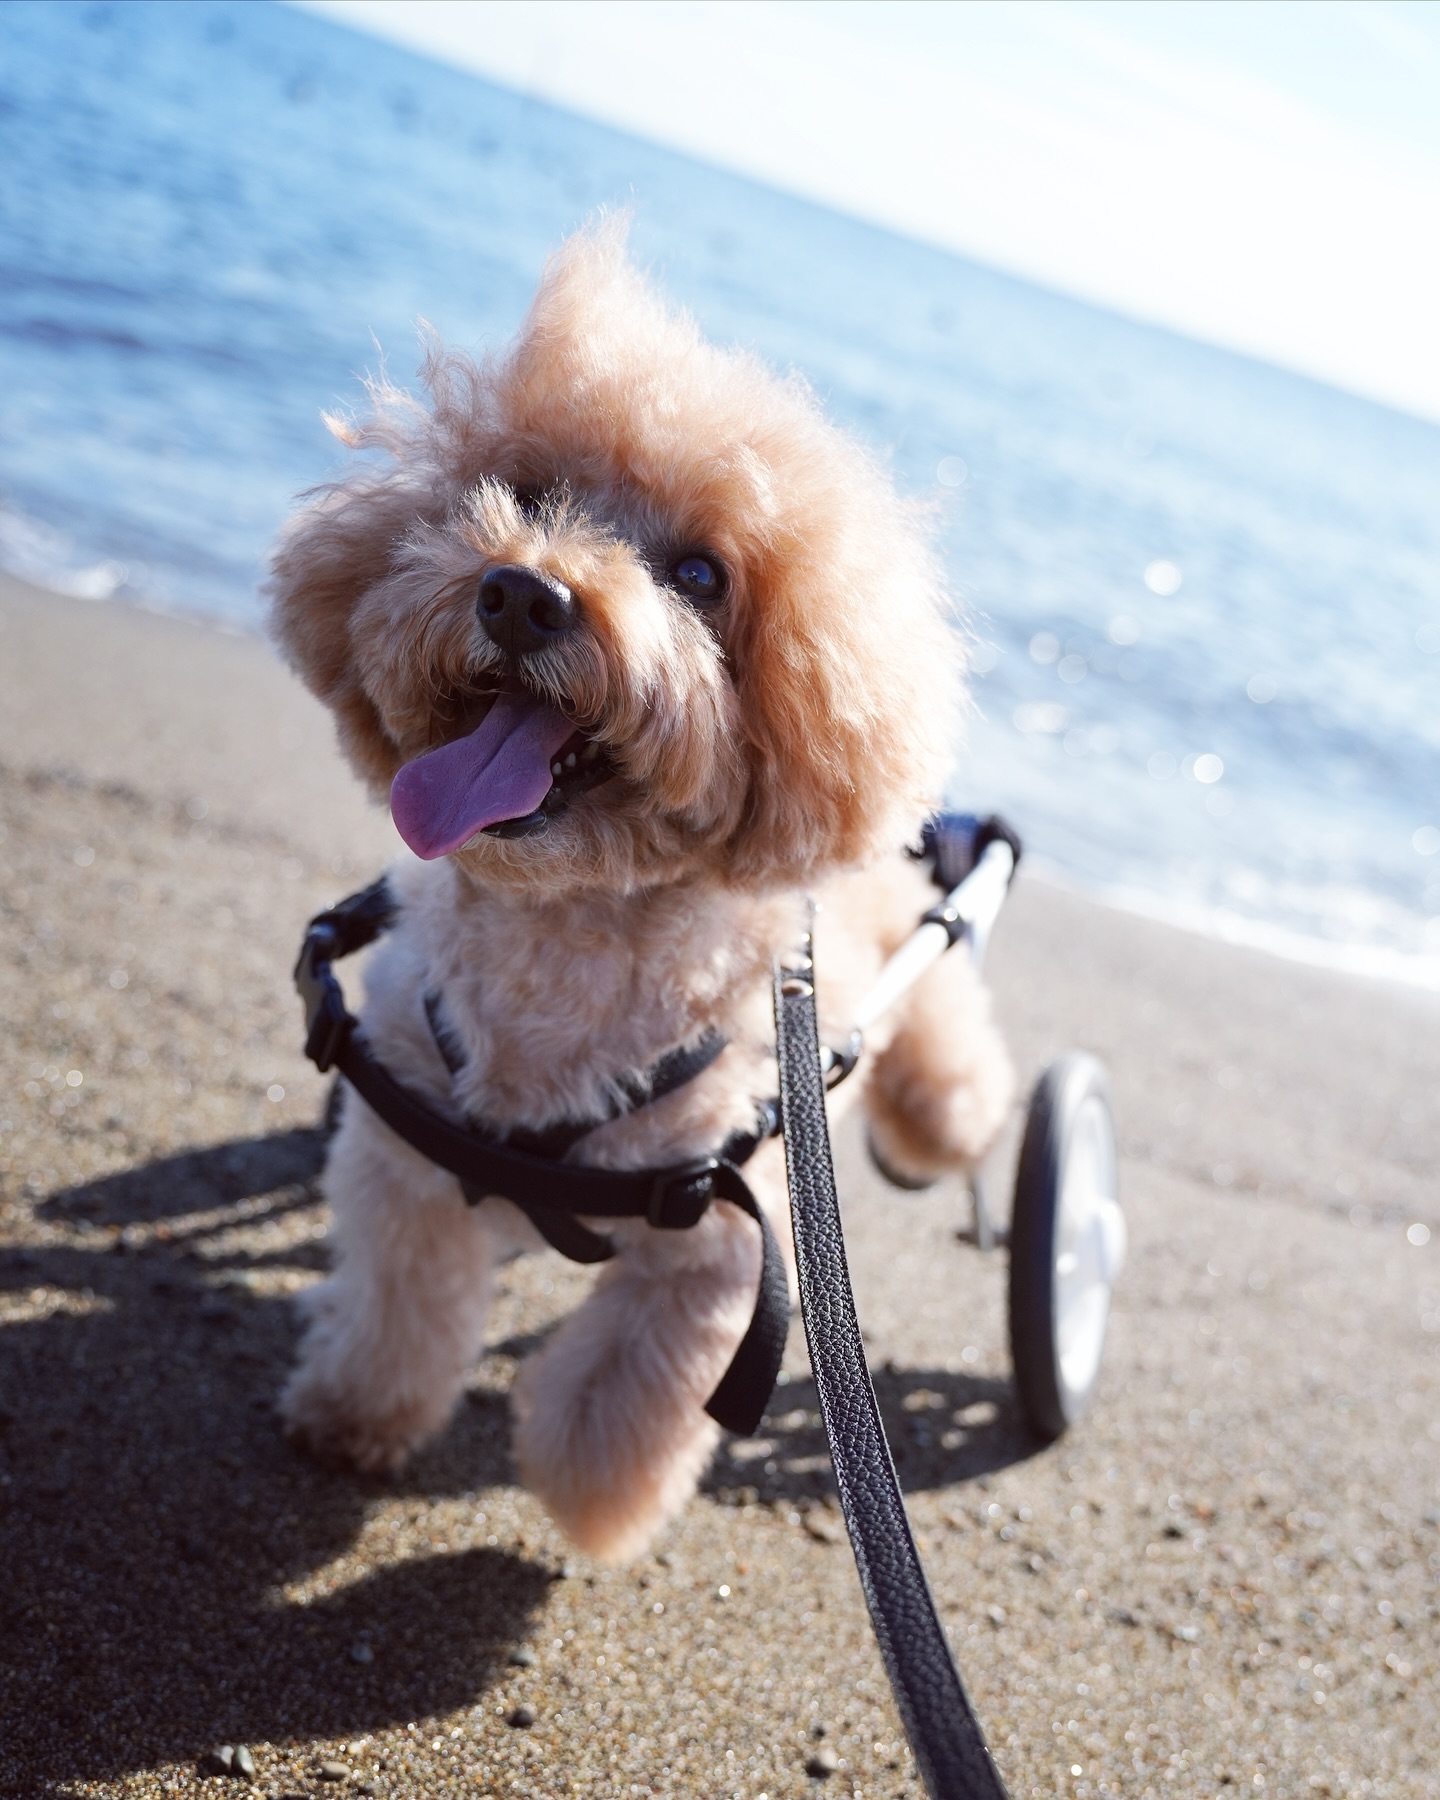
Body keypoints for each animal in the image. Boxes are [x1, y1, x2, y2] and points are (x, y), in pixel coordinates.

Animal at [269, 225, 1014, 1562]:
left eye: (702, 574)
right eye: (527, 495)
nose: (525, 593)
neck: (561, 937)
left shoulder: (719, 1236)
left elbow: (634, 1384)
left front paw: (593, 1497)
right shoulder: (401, 1160)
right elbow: (400, 1307)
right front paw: (352, 1415)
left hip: (924, 1035)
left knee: (961, 1089)